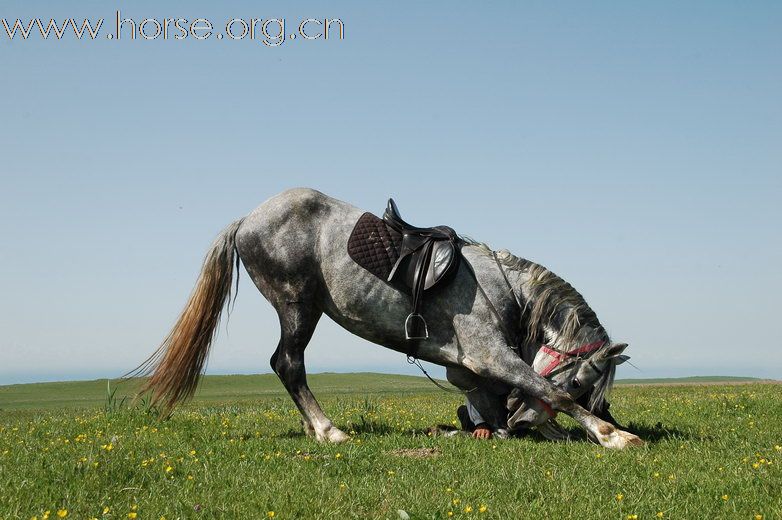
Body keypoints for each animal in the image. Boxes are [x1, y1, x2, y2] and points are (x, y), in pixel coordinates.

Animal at [138, 189, 644, 448]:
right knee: (288, 364)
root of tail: (248, 219)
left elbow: (501, 401)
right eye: (580, 383)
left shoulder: (466, 370)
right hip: (297, 306)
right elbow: (542, 390)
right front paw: (612, 435)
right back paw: (328, 431)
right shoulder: (490, 356)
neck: (506, 289)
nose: (523, 426)